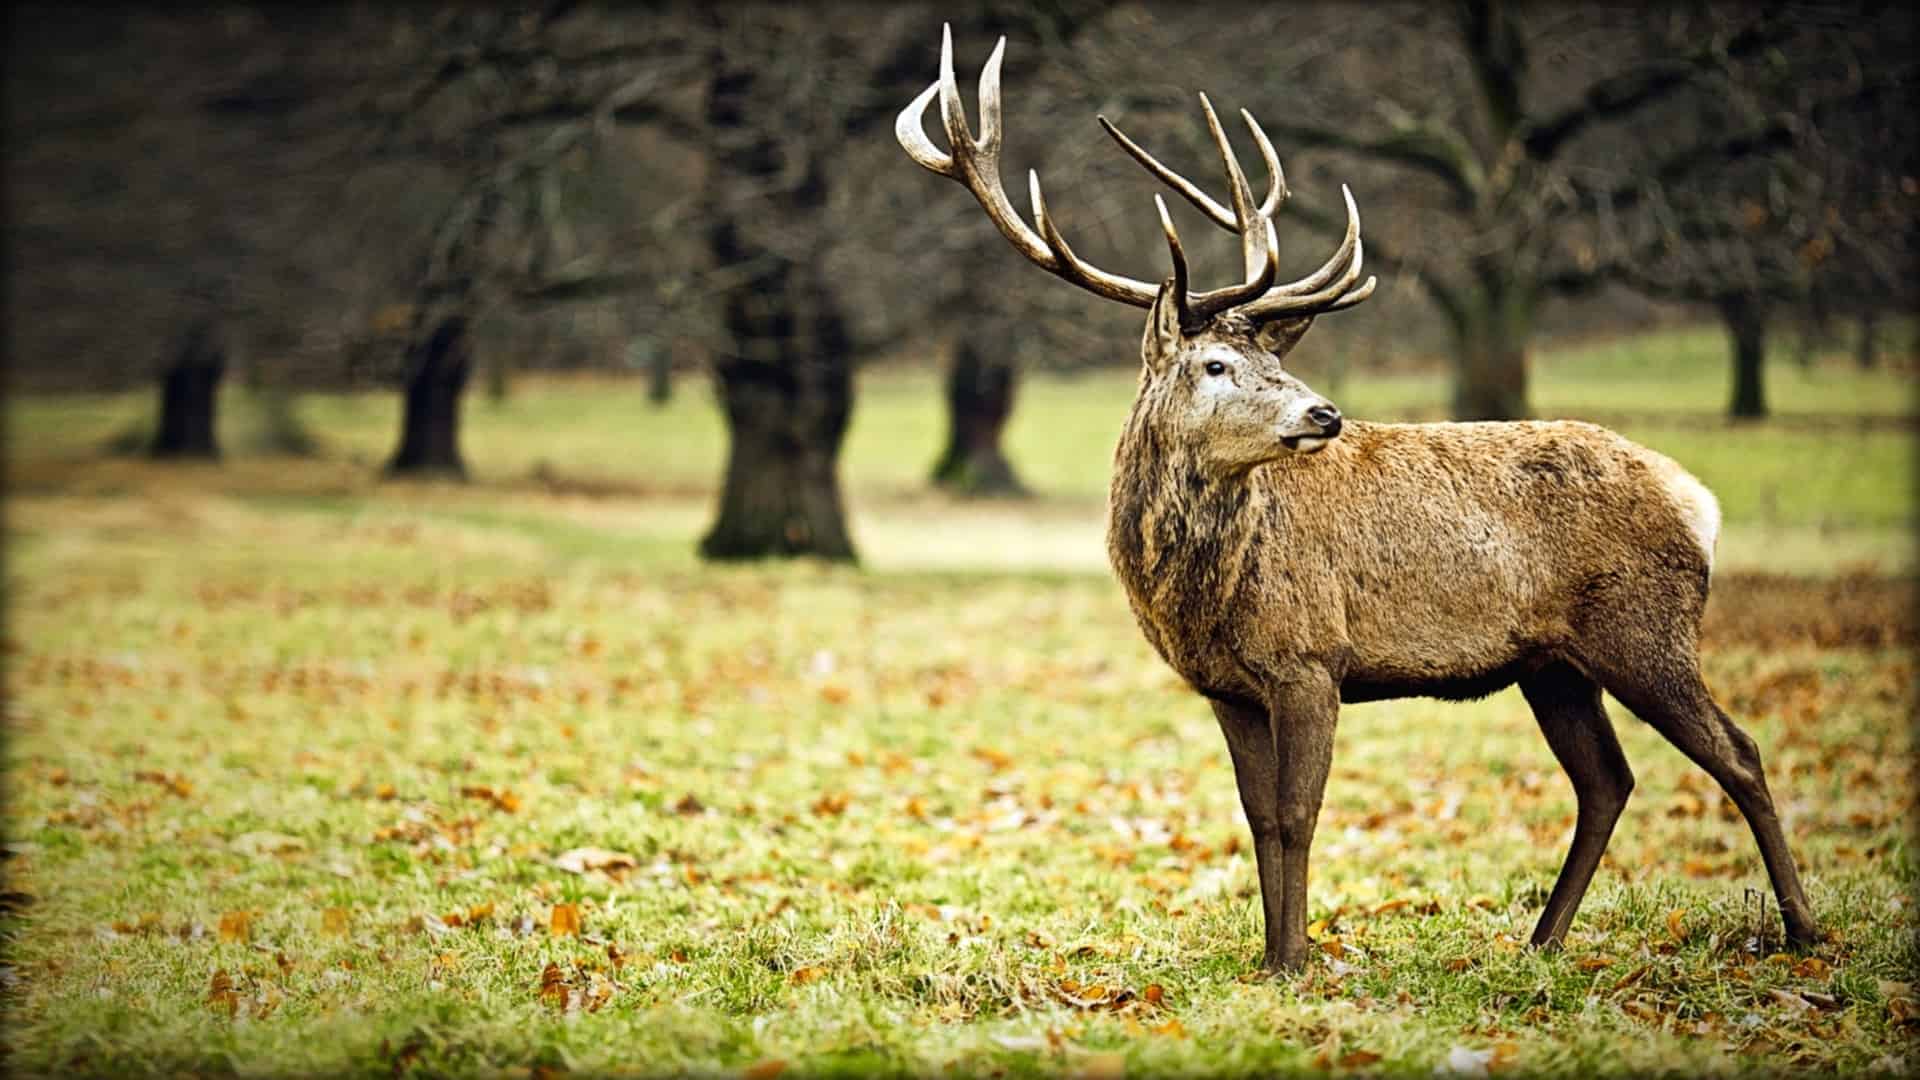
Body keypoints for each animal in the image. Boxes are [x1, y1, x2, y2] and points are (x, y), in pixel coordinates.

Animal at [897, 28, 1820, 973]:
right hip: (1553, 664)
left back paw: (1801, 929)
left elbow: (1299, 813)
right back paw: (1542, 941)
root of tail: (1699, 500)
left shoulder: (1312, 657)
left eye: (1274, 359)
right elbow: (1257, 817)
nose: (1324, 412)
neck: (1201, 596)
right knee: (1608, 778)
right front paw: (1271, 958)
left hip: (1644, 628)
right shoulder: (1228, 687)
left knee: (1738, 752)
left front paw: (1298, 961)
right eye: (1216, 364)